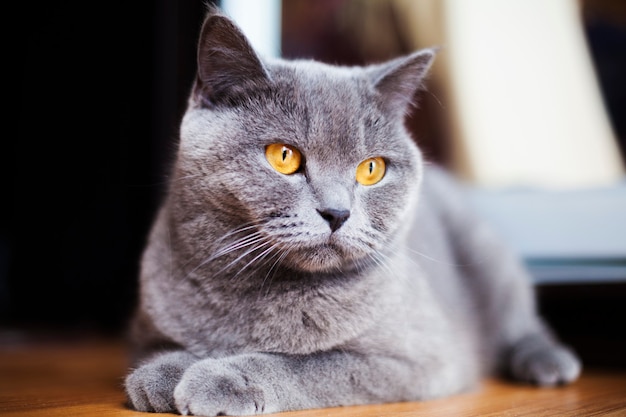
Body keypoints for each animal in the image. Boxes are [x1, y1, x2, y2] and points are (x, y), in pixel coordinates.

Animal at [123, 7, 580, 416]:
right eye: (283, 156)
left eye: (371, 168)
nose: (336, 212)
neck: (255, 289)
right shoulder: (145, 328)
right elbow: (164, 347)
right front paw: (161, 373)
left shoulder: (416, 361)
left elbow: (305, 365)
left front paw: (220, 380)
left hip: (491, 261)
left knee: (523, 322)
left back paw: (549, 363)